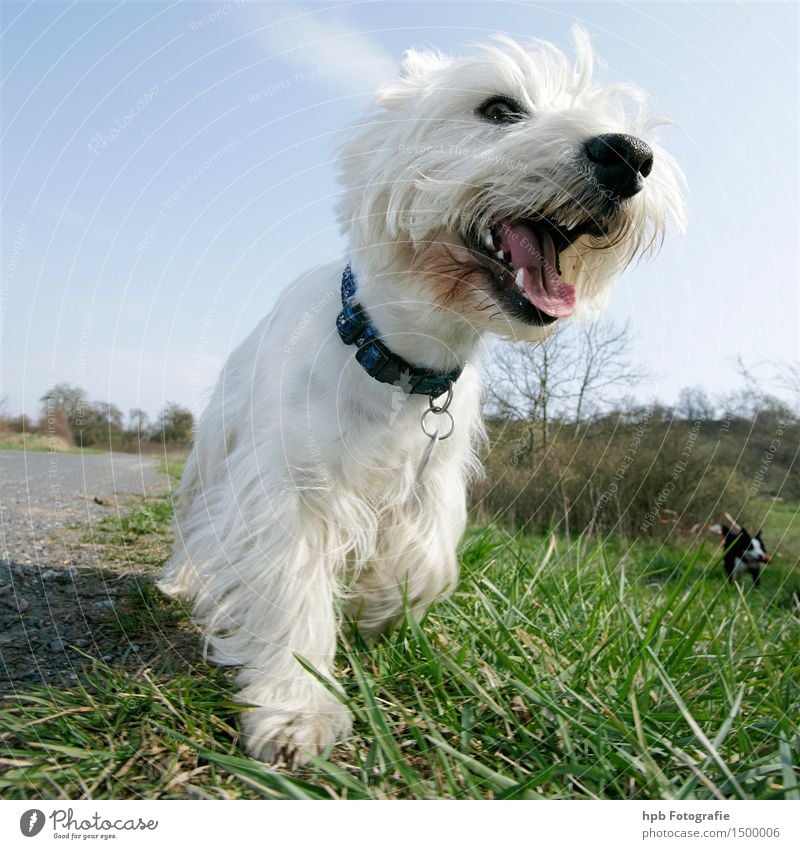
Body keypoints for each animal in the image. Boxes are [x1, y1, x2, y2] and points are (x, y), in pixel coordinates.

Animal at [159, 29, 684, 764]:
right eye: (499, 109)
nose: (630, 156)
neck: (404, 363)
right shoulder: (289, 490)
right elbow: (292, 595)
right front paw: (297, 710)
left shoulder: (432, 483)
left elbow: (428, 559)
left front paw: (379, 605)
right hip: (214, 452)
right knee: (194, 521)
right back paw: (185, 579)